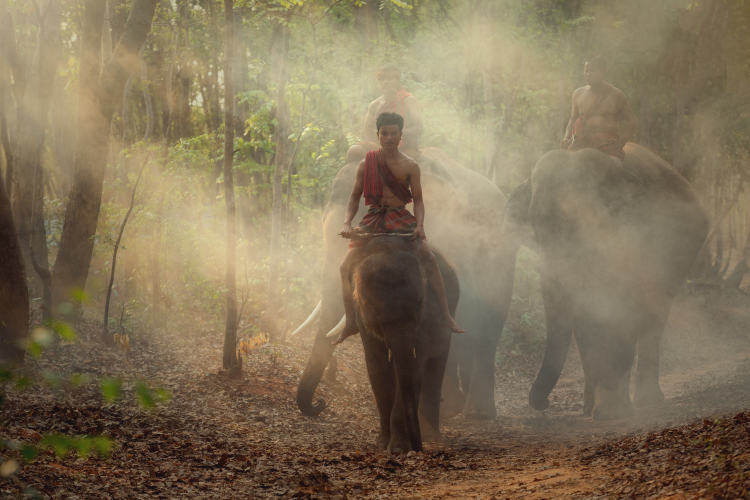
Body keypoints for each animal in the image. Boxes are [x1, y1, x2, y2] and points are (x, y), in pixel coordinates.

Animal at [350, 235, 462, 454]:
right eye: (375, 308)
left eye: (419, 302)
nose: (417, 448)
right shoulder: (362, 317)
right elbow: (377, 366)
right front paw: (383, 444)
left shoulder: (426, 316)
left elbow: (415, 366)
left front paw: (398, 448)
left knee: (435, 367)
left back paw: (432, 436)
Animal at [506, 144, 712, 418]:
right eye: (536, 231)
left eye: (584, 227)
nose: (543, 404)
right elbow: (588, 319)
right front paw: (596, 409)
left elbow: (620, 312)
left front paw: (611, 411)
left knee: (655, 315)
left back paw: (647, 401)